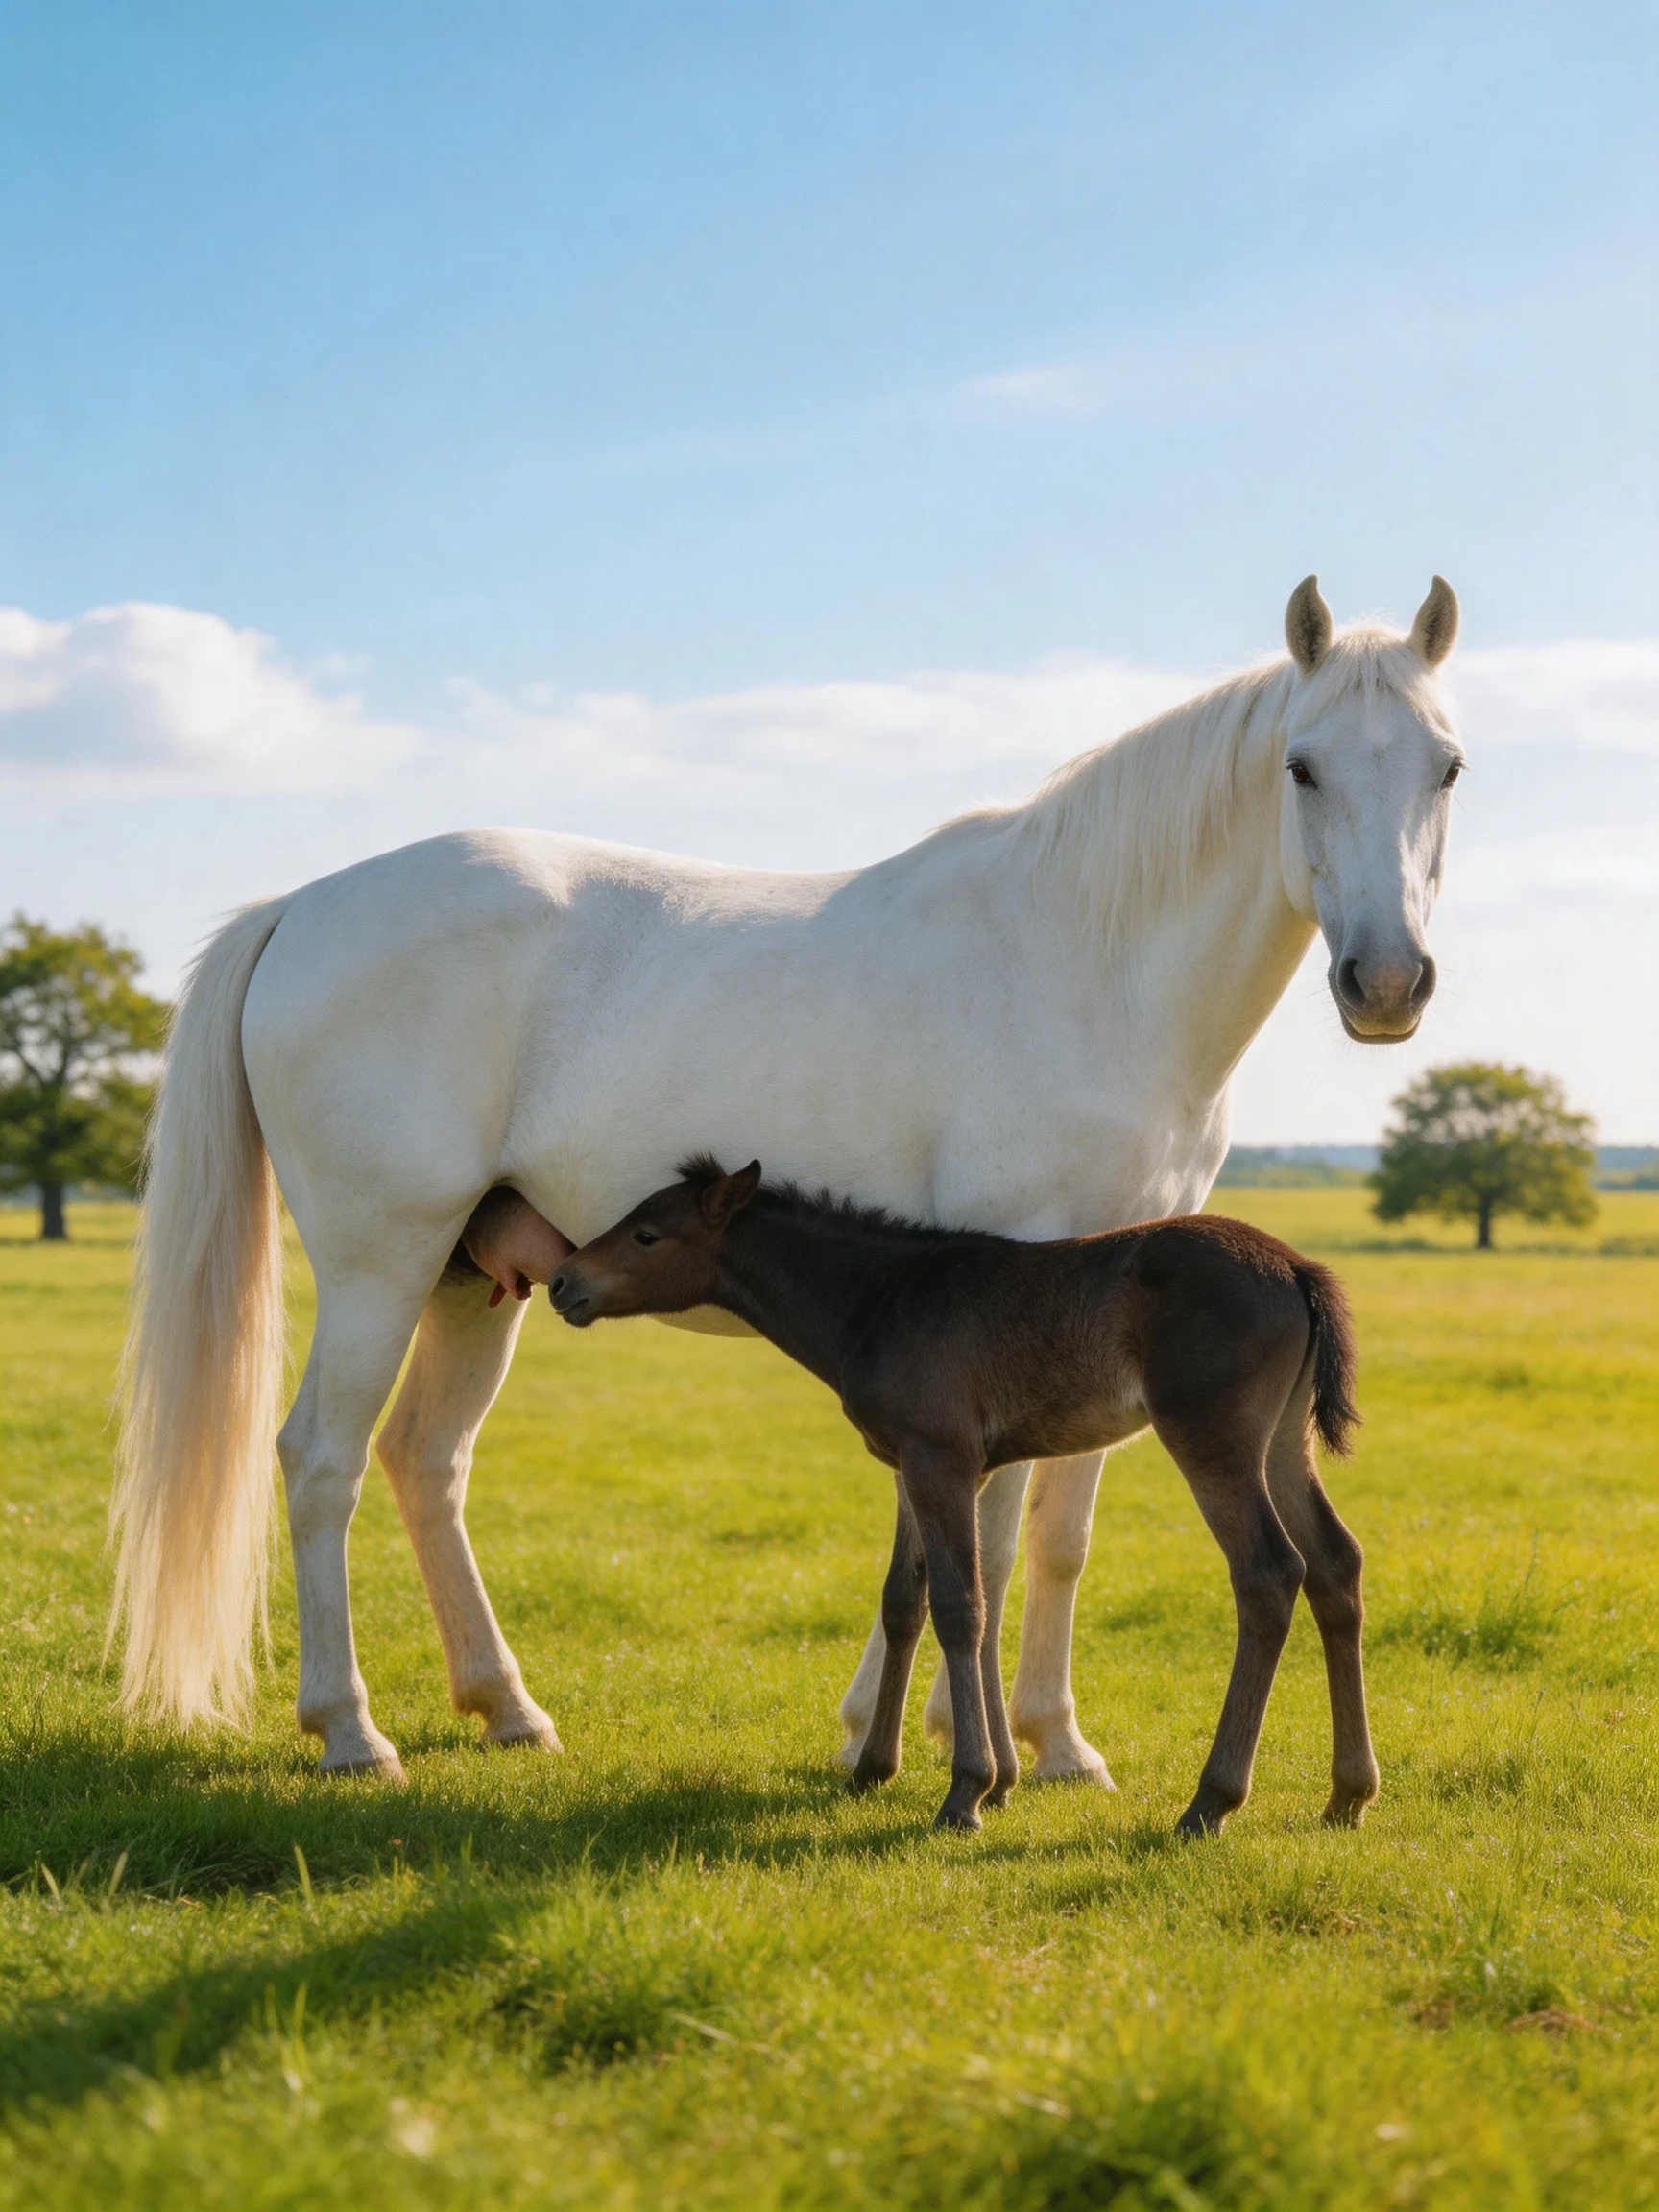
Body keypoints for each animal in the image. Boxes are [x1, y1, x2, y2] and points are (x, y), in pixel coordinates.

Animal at [549, 1156, 1374, 1836]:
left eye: (647, 1234)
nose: (562, 1281)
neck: (882, 1301)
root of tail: (1296, 1266)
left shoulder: (938, 1459)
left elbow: (958, 1605)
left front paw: (966, 1792)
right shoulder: (931, 1464)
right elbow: (913, 1599)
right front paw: (889, 1770)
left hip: (1213, 1438)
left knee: (1269, 1574)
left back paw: (1211, 1801)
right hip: (1284, 1445)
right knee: (1336, 1564)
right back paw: (1347, 1794)